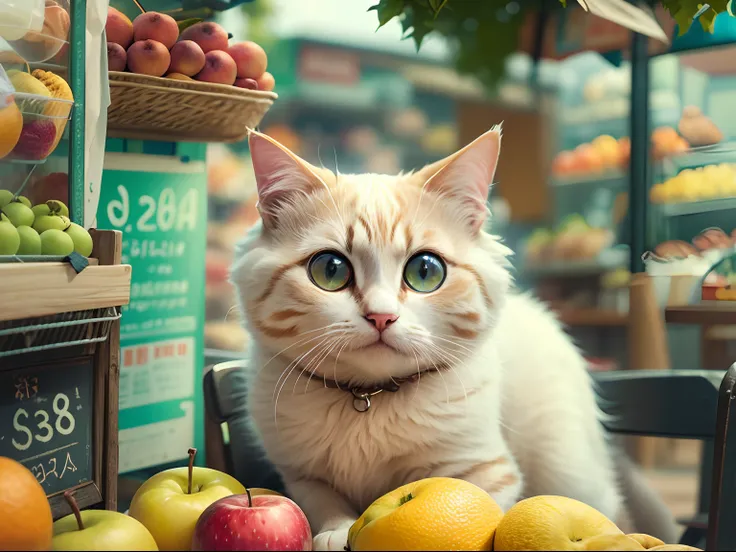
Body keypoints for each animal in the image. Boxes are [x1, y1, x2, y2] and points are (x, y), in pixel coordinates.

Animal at [231, 128, 680, 548]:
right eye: (330, 270)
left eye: (425, 271)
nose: (381, 316)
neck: (368, 400)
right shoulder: (301, 475)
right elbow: (324, 504)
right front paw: (336, 531)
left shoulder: (485, 469)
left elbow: (473, 506)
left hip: (569, 467)